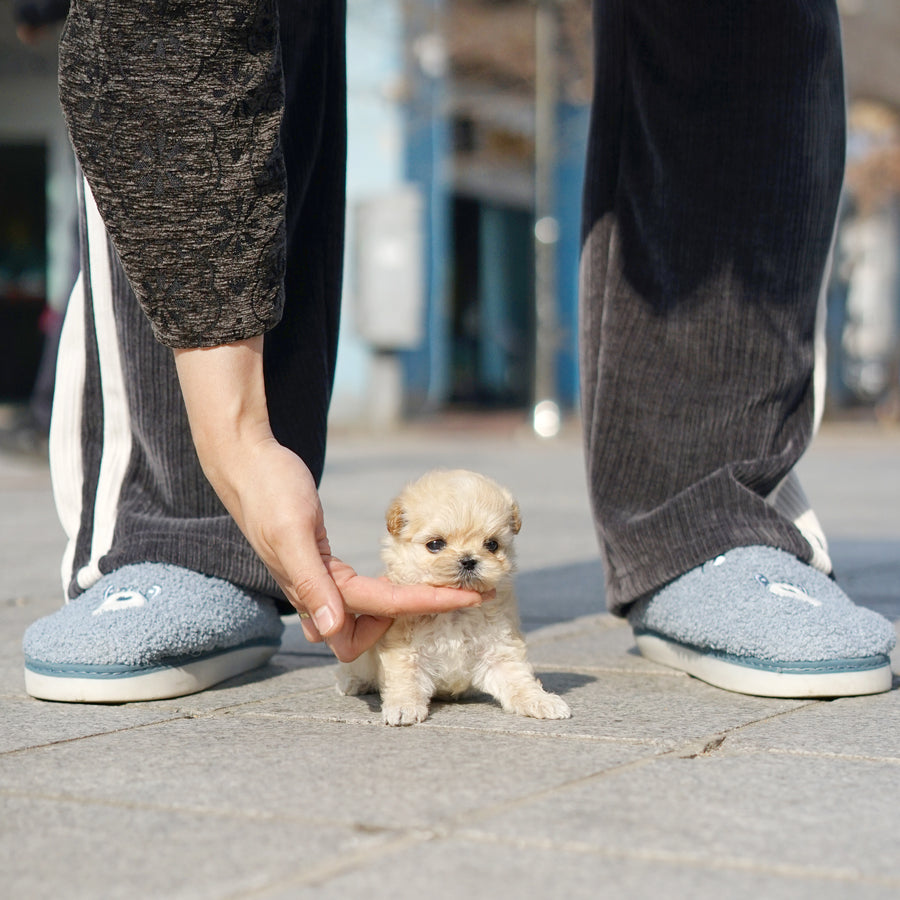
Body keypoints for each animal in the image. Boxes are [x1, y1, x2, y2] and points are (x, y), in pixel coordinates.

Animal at [338, 468, 568, 728]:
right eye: (435, 544)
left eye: (492, 544)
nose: (468, 560)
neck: (454, 615)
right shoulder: (405, 650)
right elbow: (406, 680)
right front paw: (403, 707)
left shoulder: (499, 651)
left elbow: (518, 679)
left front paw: (541, 701)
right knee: (354, 669)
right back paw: (352, 682)